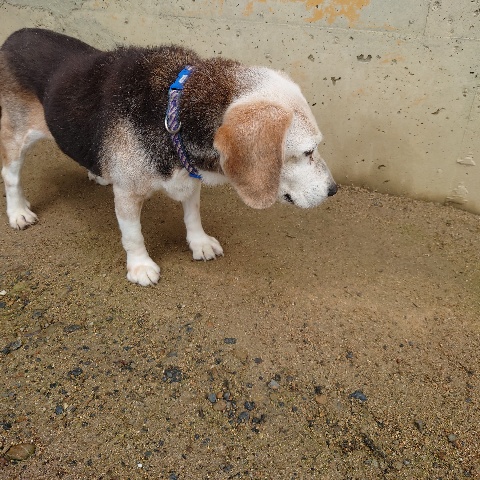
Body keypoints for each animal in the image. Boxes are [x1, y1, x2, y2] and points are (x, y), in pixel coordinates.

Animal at [0, 28, 337, 286]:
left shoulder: (189, 174)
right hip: (18, 137)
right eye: (308, 152)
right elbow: (133, 235)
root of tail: (14, 36)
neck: (173, 109)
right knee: (11, 176)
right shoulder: (127, 194)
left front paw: (199, 242)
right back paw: (18, 212)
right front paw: (140, 267)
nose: (334, 190)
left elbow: (193, 213)